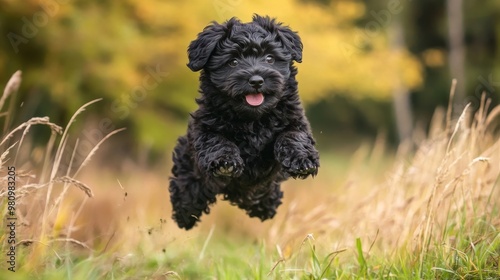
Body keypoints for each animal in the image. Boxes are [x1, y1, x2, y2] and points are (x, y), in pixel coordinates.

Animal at [169, 13, 320, 230]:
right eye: (233, 62)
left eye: (270, 58)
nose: (256, 80)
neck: (253, 118)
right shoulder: (203, 126)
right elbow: (216, 140)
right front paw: (225, 162)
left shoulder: (295, 119)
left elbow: (292, 136)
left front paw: (302, 160)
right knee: (187, 188)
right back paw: (185, 214)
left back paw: (265, 206)